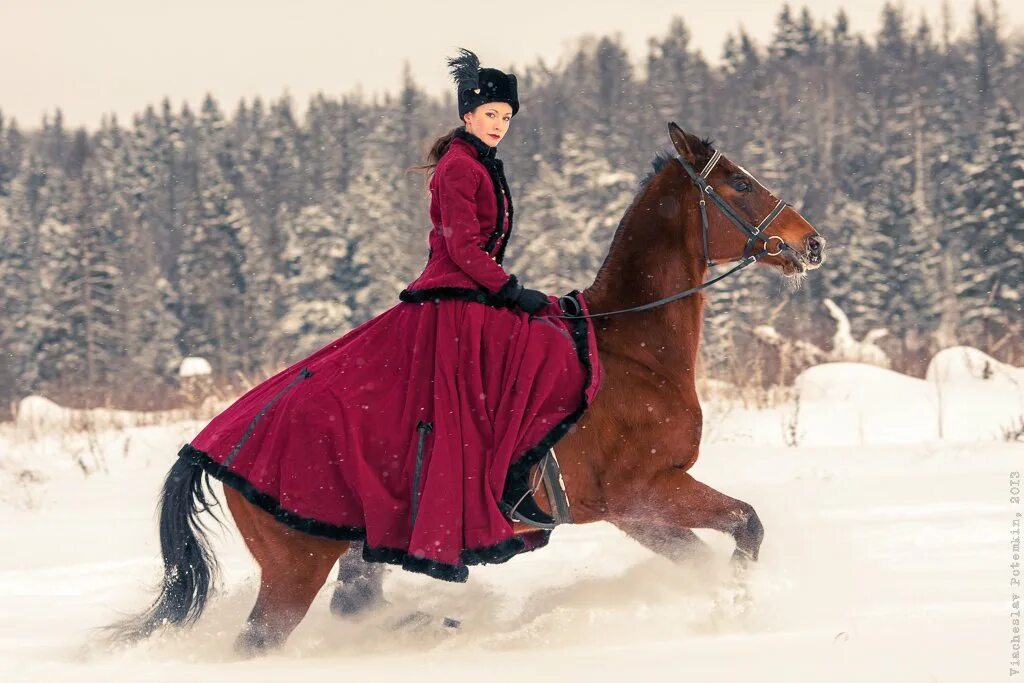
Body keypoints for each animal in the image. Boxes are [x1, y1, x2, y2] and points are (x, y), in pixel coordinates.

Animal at [110, 124, 823, 655]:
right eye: (738, 181)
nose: (810, 242)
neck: (634, 349)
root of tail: (208, 444)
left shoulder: (638, 512)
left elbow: (713, 551)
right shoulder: (645, 492)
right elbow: (747, 525)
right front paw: (735, 608)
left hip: (357, 545)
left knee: (352, 606)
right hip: (295, 566)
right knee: (263, 641)